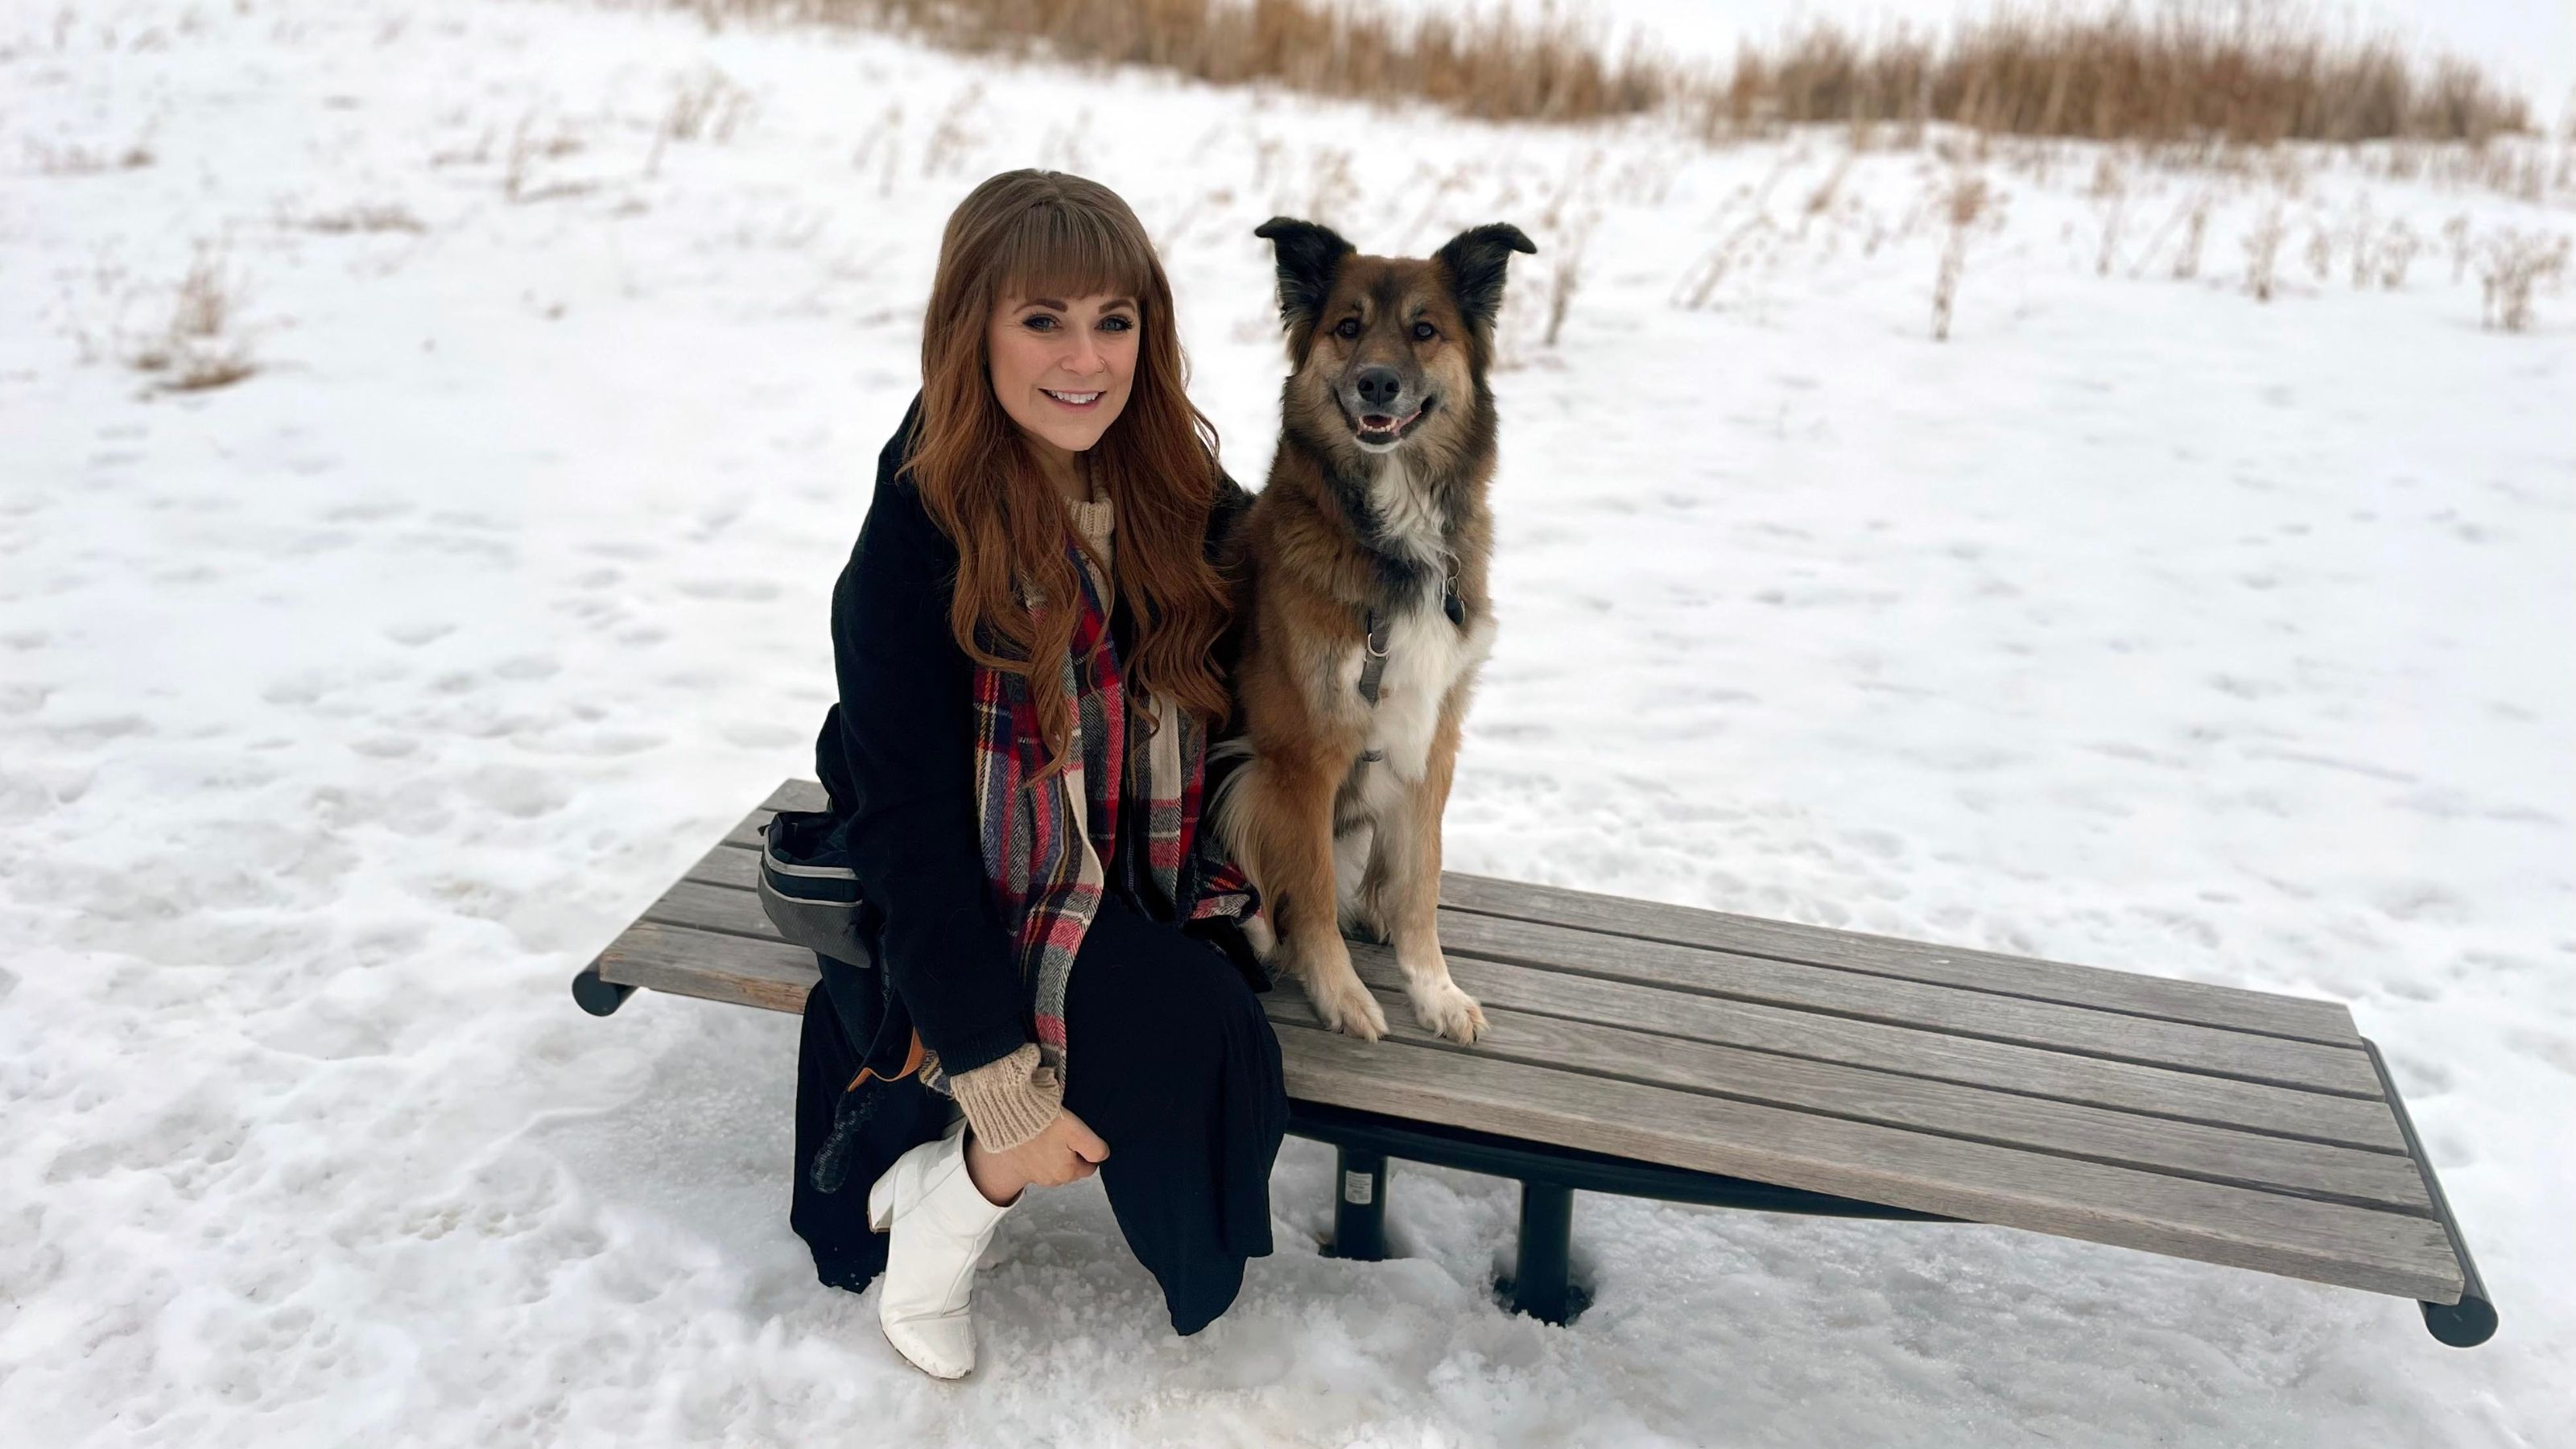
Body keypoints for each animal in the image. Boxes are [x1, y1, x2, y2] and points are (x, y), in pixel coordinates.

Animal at [1205, 213, 1525, 1041]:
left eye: (1424, 330)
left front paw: (1434, 989)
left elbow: (1421, 880)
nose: (1377, 382)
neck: (1390, 532)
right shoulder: (1301, 755)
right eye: (1348, 328)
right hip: (1245, 783)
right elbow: (1313, 891)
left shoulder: (1432, 733)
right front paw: (1340, 992)